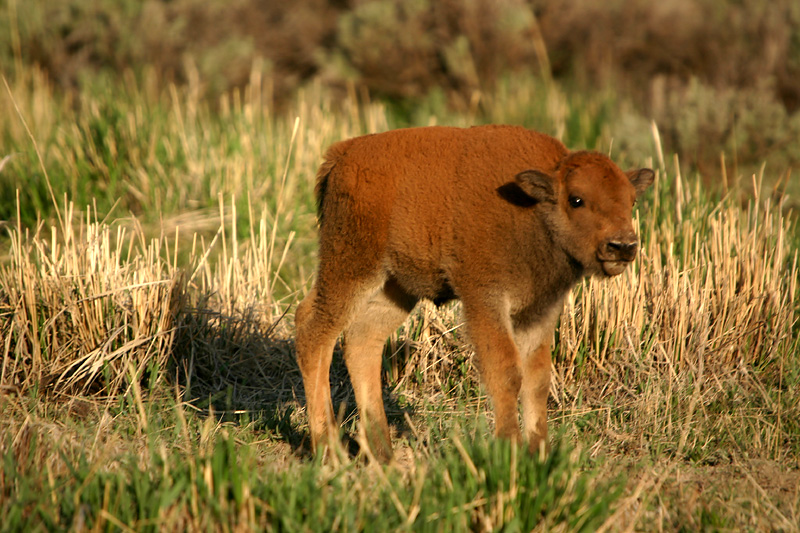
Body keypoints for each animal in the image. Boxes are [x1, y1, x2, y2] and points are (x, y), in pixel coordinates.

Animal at [294, 124, 648, 462]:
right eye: (576, 199)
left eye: (632, 200)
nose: (623, 245)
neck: (532, 210)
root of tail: (341, 154)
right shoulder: (485, 300)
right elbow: (506, 371)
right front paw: (511, 452)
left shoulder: (539, 310)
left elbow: (537, 380)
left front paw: (539, 455)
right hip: (352, 268)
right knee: (314, 331)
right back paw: (327, 449)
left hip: (395, 288)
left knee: (362, 342)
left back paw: (382, 453)